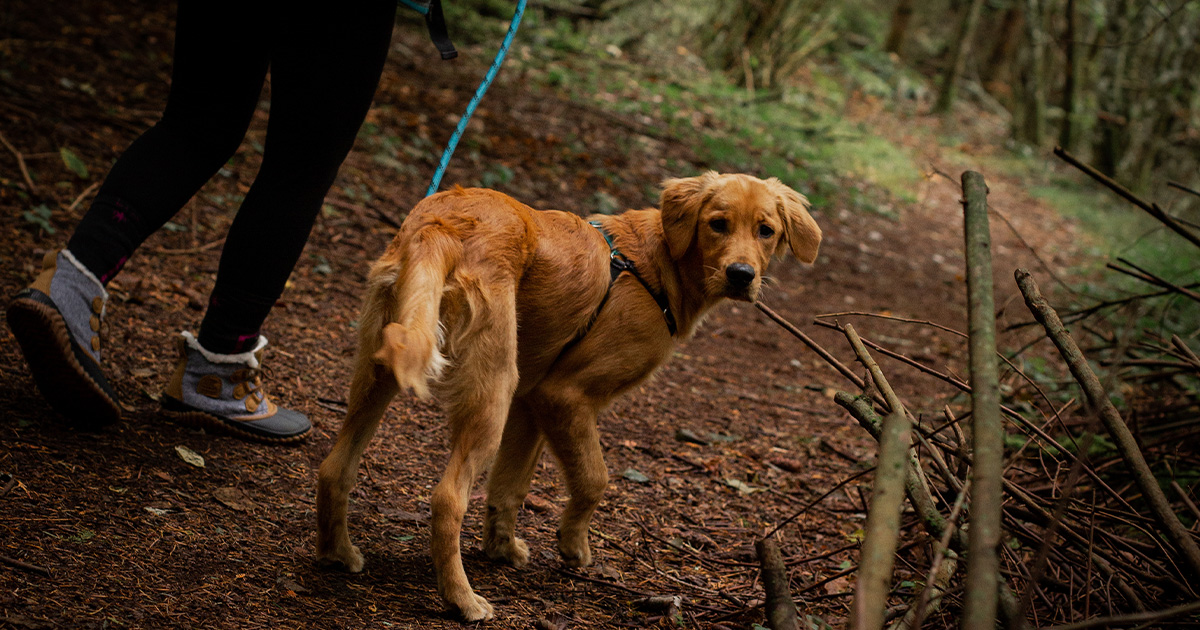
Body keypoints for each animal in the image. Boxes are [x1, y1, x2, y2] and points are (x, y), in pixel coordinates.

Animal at [316, 170, 825, 619]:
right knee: (446, 500)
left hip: (382, 373)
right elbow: (594, 479)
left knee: (335, 466)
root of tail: (443, 223)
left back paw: (337, 553)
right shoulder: (564, 396)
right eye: (718, 223)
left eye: (766, 230)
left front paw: (502, 547)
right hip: (491, 391)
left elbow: (509, 487)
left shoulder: (531, 400)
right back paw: (463, 600)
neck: (660, 263)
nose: (742, 275)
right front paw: (573, 545)